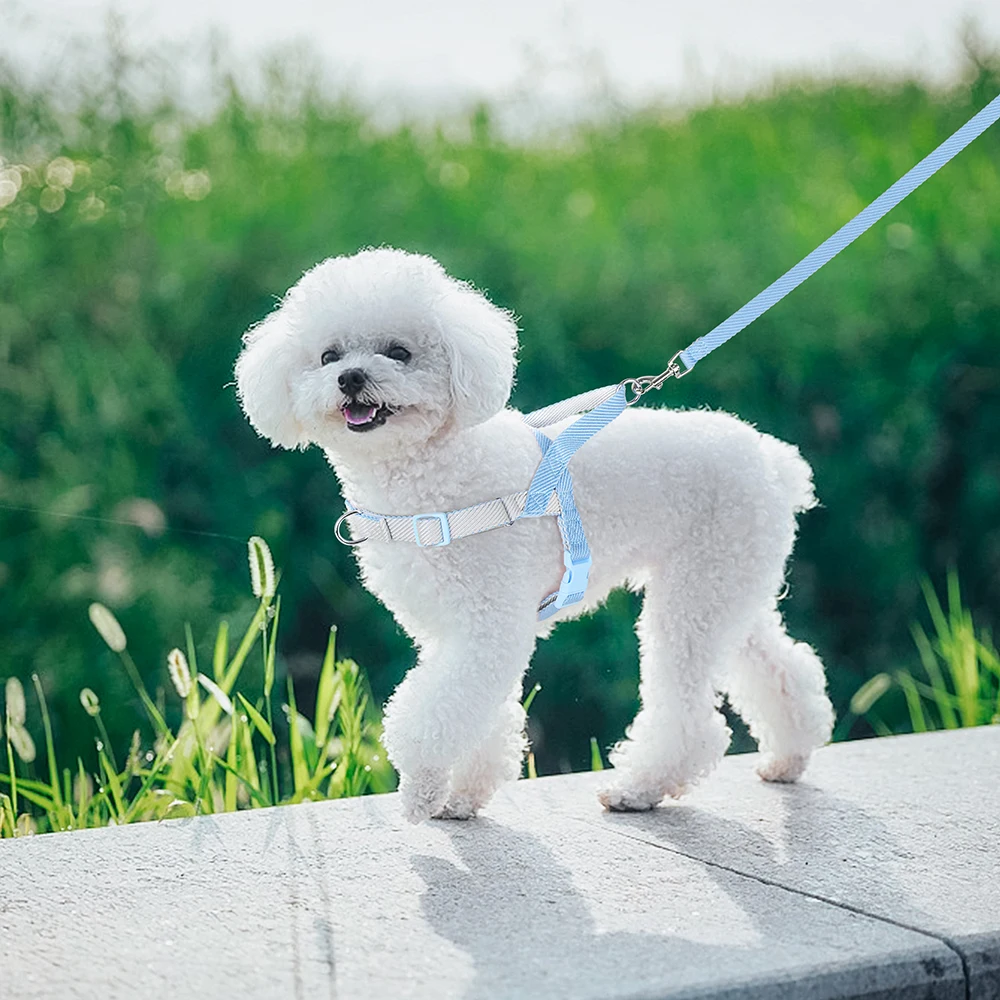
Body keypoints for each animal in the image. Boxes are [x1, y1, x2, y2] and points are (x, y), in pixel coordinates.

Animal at [236, 246, 836, 824]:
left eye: (399, 352)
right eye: (328, 357)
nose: (351, 378)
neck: (433, 480)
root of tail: (772, 460)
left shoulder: (489, 624)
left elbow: (433, 714)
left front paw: (423, 790)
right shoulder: (450, 630)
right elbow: (482, 715)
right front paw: (461, 796)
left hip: (697, 592)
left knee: (691, 716)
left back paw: (637, 789)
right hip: (730, 584)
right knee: (782, 668)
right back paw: (789, 756)